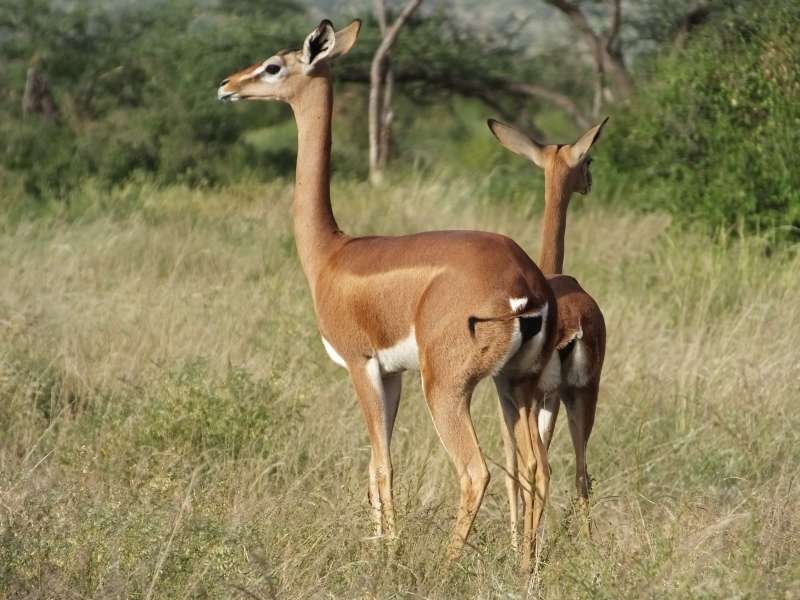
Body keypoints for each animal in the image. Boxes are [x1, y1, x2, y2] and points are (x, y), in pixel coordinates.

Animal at [217, 20, 560, 568]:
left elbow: (381, 464)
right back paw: (526, 566)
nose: (227, 85)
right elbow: (377, 465)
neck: (332, 253)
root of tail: (524, 281)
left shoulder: (362, 365)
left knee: (476, 470)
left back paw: (445, 567)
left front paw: (387, 552)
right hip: (516, 385)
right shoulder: (394, 374)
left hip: (447, 388)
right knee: (535, 467)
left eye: (273, 65)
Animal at [487, 118, 608, 544]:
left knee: (537, 468)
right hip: (582, 395)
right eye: (588, 160)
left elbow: (512, 466)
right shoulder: (551, 399)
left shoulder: (508, 397)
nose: (590, 182)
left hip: (534, 396)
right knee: (581, 473)